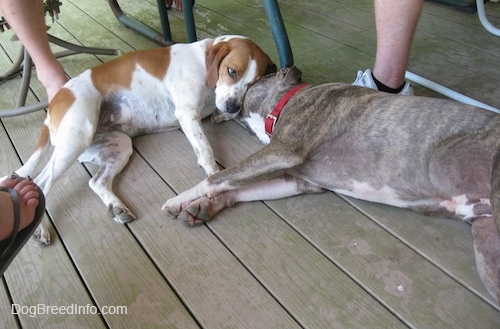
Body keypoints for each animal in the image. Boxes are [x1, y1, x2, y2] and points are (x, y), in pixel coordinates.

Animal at [12, 34, 278, 245]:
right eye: (231, 71)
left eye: (253, 83)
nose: (232, 106)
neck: (204, 67)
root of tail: (55, 102)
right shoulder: (187, 113)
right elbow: (205, 149)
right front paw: (213, 174)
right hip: (76, 139)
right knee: (40, 182)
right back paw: (40, 227)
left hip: (119, 146)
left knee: (96, 182)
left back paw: (117, 207)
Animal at [162, 66, 498, 302]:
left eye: (256, 78)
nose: (223, 105)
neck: (286, 101)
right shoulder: (298, 180)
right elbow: (239, 189)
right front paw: (205, 205)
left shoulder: (282, 152)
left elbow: (217, 176)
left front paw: (179, 198)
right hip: (488, 248)